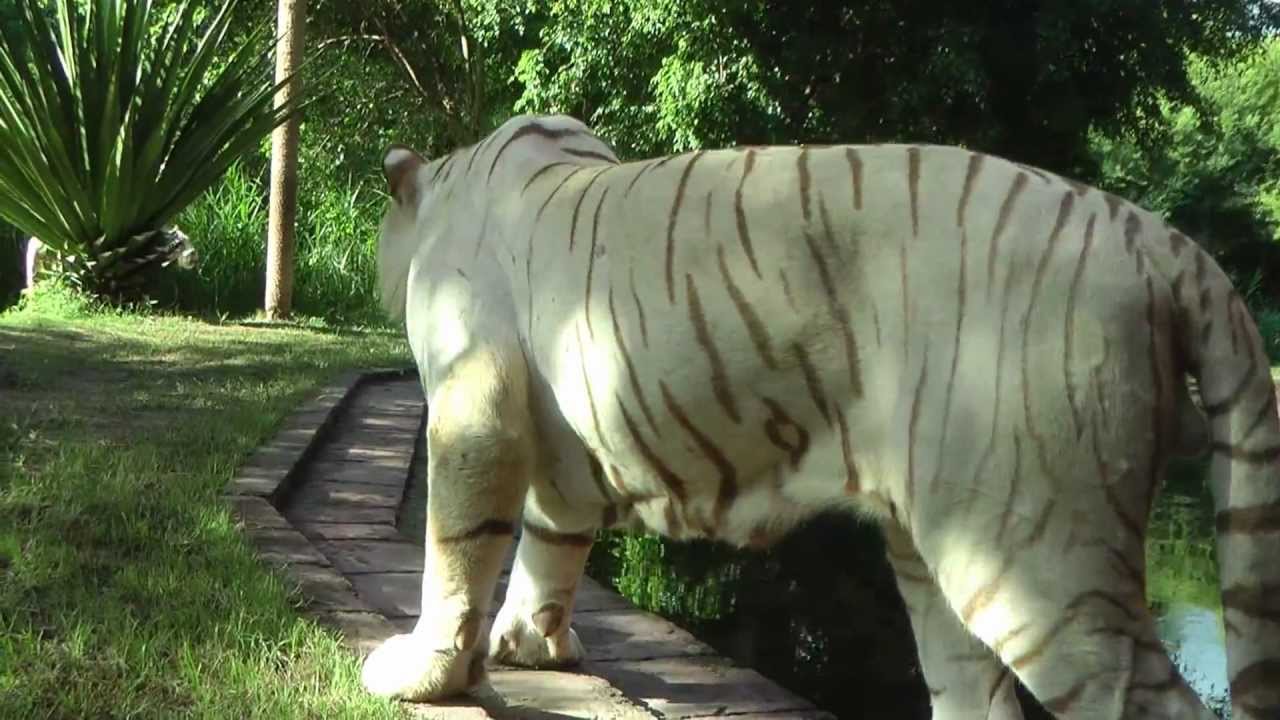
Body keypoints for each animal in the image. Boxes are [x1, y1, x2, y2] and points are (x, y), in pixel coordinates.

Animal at [360, 113, 1280, 719]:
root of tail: (1162, 243)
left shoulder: (475, 407)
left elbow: (459, 548)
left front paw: (423, 674)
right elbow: (551, 541)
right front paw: (532, 644)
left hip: (1038, 559)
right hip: (943, 548)